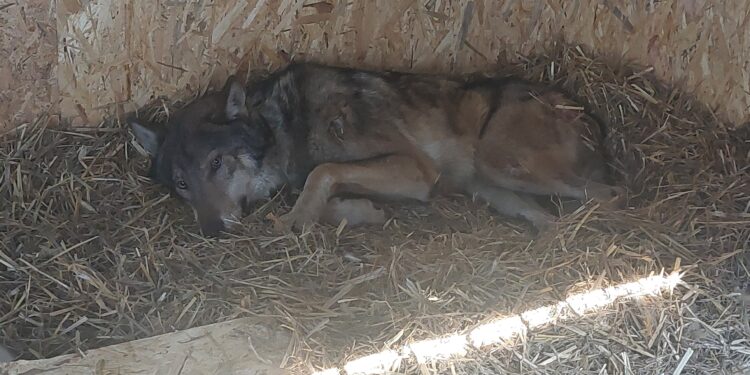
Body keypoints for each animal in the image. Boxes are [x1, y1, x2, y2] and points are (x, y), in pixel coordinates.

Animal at [131, 63, 628, 236]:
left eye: (216, 163)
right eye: (181, 184)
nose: (213, 230)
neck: (286, 126)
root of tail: (585, 110)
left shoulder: (416, 170)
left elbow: (323, 173)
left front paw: (299, 219)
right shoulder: (418, 182)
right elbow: (328, 187)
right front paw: (359, 212)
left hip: (501, 163)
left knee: (611, 196)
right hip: (492, 189)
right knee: (549, 215)